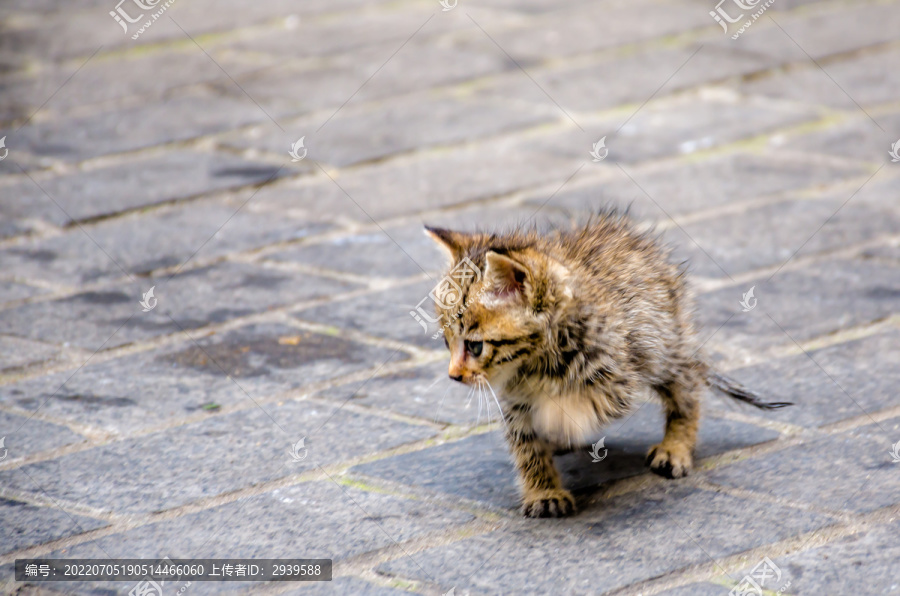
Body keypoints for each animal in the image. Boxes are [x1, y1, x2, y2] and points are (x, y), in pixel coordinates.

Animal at [422, 212, 788, 520]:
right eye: (446, 342)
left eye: (475, 346)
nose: (454, 376)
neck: (537, 362)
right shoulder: (514, 400)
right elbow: (526, 445)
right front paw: (543, 490)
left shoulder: (618, 375)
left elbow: (580, 406)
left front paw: (560, 422)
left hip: (663, 347)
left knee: (686, 385)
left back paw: (675, 447)